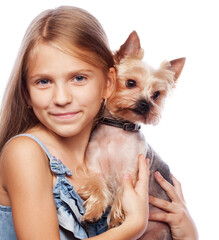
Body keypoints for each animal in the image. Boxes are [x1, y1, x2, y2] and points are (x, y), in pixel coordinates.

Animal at [78, 31, 186, 239]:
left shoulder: (129, 172)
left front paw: (117, 220)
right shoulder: (94, 168)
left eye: (156, 95)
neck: (118, 128)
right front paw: (93, 212)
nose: (145, 104)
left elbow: (121, 195)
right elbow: (98, 187)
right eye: (130, 83)